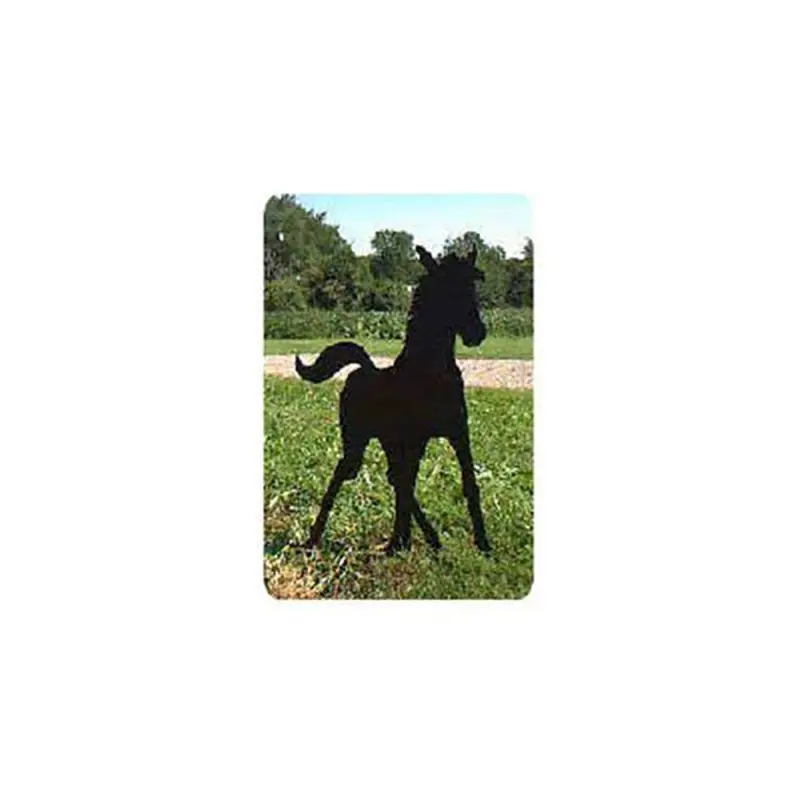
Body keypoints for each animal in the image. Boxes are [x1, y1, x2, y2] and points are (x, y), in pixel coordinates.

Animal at [294, 244, 491, 555]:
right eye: (446, 290)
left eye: (472, 287)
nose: (476, 333)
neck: (430, 370)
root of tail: (363, 369)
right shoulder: (416, 439)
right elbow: (408, 485)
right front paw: (400, 541)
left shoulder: (458, 433)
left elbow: (468, 484)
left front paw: (483, 545)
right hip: (357, 442)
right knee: (346, 472)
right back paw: (314, 538)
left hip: (389, 441)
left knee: (395, 477)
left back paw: (426, 539)